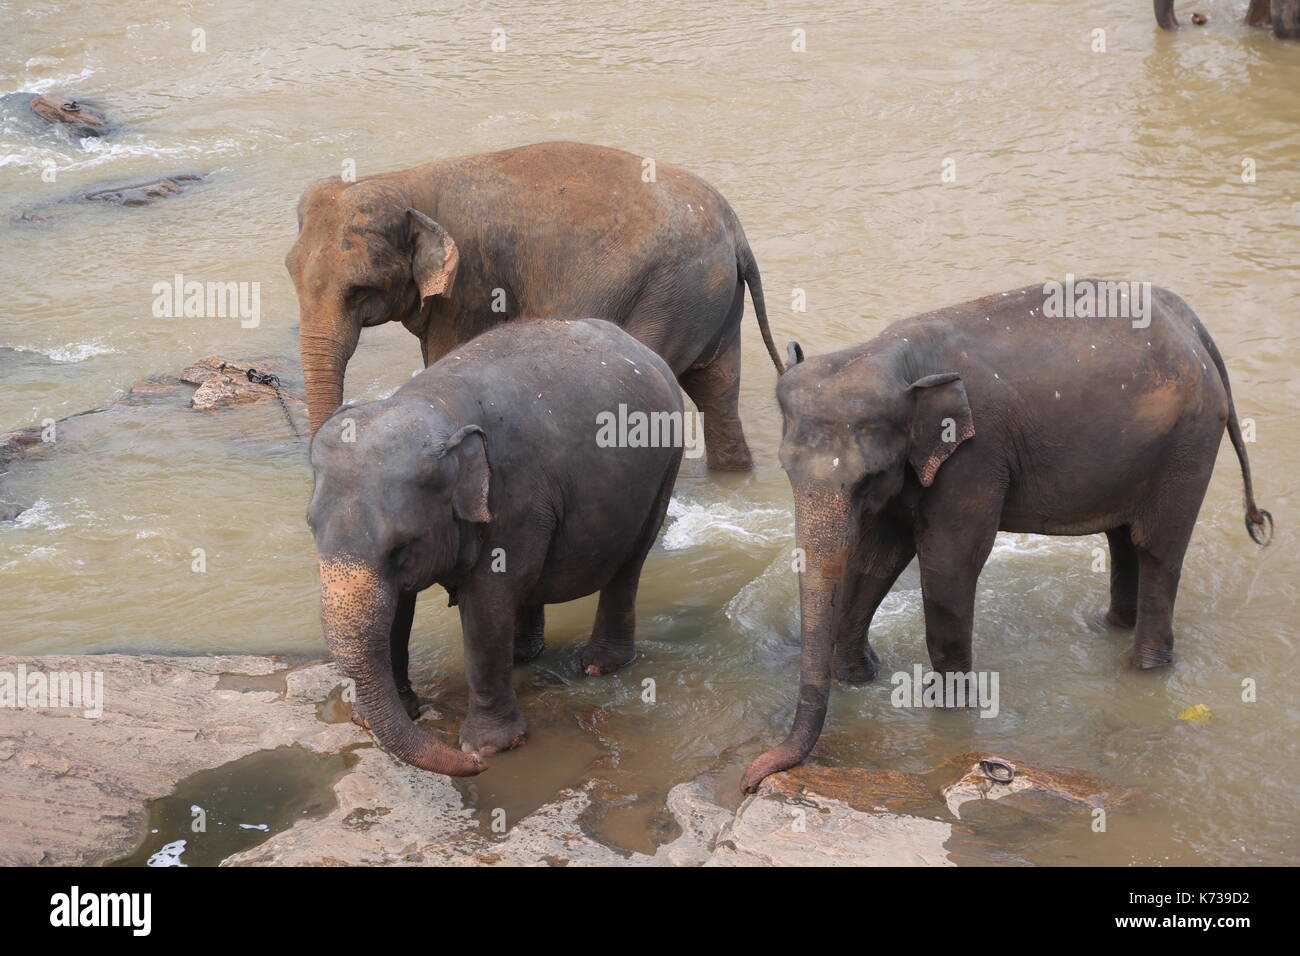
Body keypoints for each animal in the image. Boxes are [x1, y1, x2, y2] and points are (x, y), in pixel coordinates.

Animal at [284, 139, 780, 470]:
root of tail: (735, 230)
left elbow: (447, 357)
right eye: (290, 272)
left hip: (668, 295)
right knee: (719, 391)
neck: (401, 181)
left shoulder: (473, 283)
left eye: (359, 289)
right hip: (709, 298)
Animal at [743, 282, 1268, 790]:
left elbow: (949, 563)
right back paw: (1115, 626)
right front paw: (859, 677)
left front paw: (951, 712)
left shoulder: (975, 456)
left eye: (866, 478)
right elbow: (880, 557)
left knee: (1158, 549)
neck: (888, 356)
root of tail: (1193, 325)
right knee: (1123, 541)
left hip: (1190, 442)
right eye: (786, 469)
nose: (749, 779)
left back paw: (1147, 668)